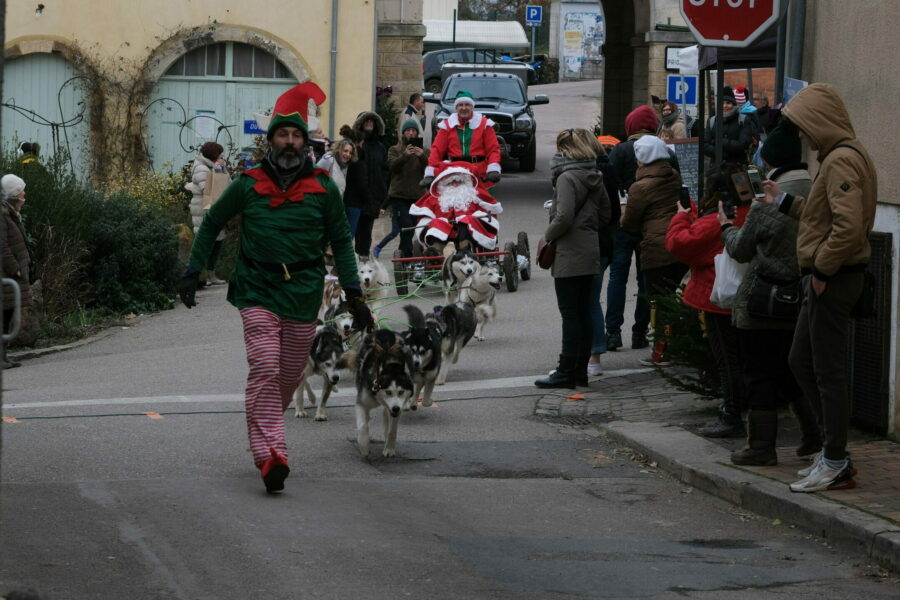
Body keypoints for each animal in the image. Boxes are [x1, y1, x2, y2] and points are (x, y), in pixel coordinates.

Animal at [356, 330, 416, 458]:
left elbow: (392, 430)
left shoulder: (399, 407)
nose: (395, 408)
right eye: (388, 392)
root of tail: (383, 330)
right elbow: (362, 426)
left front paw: (389, 448)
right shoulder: (362, 402)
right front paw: (364, 446)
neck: (391, 362)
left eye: (401, 392)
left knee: (386, 414)